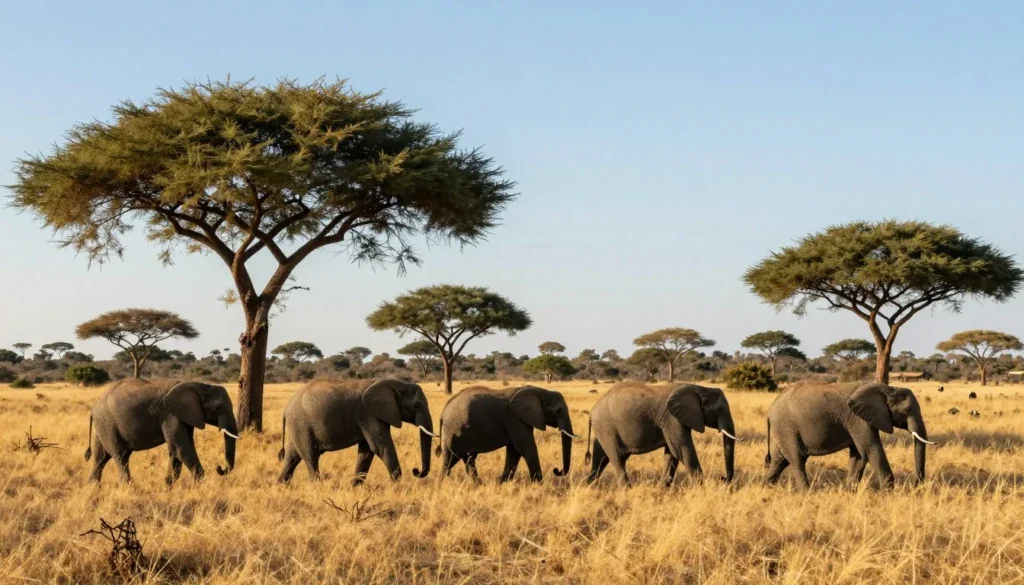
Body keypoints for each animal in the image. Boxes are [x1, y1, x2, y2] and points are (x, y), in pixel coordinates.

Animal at [85, 379, 239, 484]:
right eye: (218, 408)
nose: (219, 468)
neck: (198, 385)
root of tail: (93, 408)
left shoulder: (184, 415)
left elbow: (175, 450)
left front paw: (169, 486)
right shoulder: (170, 415)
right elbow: (182, 448)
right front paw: (198, 486)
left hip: (104, 426)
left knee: (101, 457)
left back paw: (93, 488)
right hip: (108, 424)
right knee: (120, 455)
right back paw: (128, 487)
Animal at [276, 379, 436, 484]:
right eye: (416, 405)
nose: (416, 471)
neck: (397, 384)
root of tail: (286, 408)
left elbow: (367, 451)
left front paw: (355, 487)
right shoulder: (367, 413)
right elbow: (381, 447)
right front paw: (398, 486)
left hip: (297, 426)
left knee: (292, 456)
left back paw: (281, 485)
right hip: (301, 425)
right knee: (310, 455)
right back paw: (317, 485)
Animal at [436, 385, 576, 483]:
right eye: (558, 411)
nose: (556, 470)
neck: (540, 391)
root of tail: (443, 412)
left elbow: (514, 451)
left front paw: (502, 483)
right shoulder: (514, 419)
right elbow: (526, 448)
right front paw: (539, 484)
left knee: (467, 458)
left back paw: (477, 484)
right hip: (453, 431)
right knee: (450, 458)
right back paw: (442, 484)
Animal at [585, 382, 740, 486]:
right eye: (719, 410)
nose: (723, 478)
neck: (700, 388)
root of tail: (592, 412)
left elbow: (672, 453)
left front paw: (662, 489)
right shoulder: (671, 418)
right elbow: (682, 450)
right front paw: (701, 488)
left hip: (603, 428)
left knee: (600, 457)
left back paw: (590, 486)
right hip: (607, 427)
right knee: (616, 458)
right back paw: (626, 489)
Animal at [764, 382, 934, 490]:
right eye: (907, 411)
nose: (917, 485)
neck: (887, 389)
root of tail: (770, 410)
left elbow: (859, 455)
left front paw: (850, 492)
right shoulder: (858, 419)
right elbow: (871, 450)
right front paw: (888, 494)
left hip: (781, 430)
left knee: (779, 461)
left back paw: (766, 488)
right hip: (787, 428)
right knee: (797, 460)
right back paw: (807, 493)